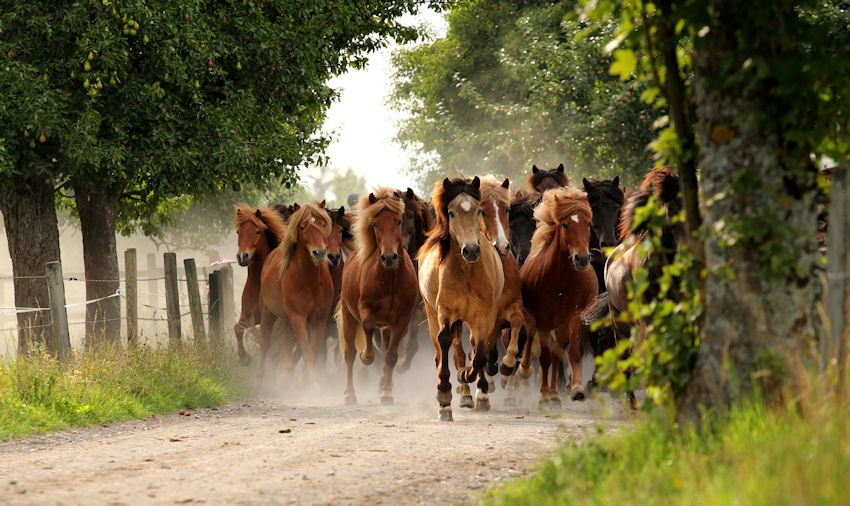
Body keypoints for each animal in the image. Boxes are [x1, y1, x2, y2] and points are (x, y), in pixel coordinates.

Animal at [232, 204, 288, 366]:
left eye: (257, 231)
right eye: (238, 232)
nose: (242, 256)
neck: (258, 283)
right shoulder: (249, 316)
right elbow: (237, 328)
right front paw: (244, 358)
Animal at [255, 202, 332, 384]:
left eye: (323, 224)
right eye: (302, 227)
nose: (319, 252)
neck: (311, 281)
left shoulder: (319, 320)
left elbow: (314, 350)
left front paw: (303, 382)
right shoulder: (298, 317)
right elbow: (307, 350)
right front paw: (313, 385)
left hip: (288, 320)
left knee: (288, 341)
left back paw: (286, 375)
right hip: (268, 313)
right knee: (266, 341)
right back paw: (261, 376)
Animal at [336, 188, 420, 406]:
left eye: (399, 221)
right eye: (375, 224)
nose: (389, 257)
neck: (389, 279)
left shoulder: (401, 319)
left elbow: (391, 356)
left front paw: (387, 393)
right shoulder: (365, 309)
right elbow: (367, 326)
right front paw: (366, 357)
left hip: (387, 327)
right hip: (349, 317)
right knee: (349, 353)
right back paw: (349, 394)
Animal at [418, 176, 504, 422]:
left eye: (478, 211)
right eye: (451, 213)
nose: (471, 251)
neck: (467, 272)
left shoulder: (484, 315)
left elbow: (481, 352)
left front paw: (470, 379)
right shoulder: (445, 312)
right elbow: (445, 342)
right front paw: (444, 399)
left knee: (474, 348)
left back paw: (477, 392)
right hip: (432, 314)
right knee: (444, 351)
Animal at [516, 186, 596, 404]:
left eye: (588, 223)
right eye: (566, 225)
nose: (582, 258)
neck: (561, 281)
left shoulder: (575, 317)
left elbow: (572, 353)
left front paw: (576, 389)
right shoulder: (543, 319)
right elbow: (543, 357)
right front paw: (543, 394)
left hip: (562, 325)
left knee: (557, 353)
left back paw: (554, 394)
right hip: (535, 319)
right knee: (533, 341)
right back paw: (526, 372)